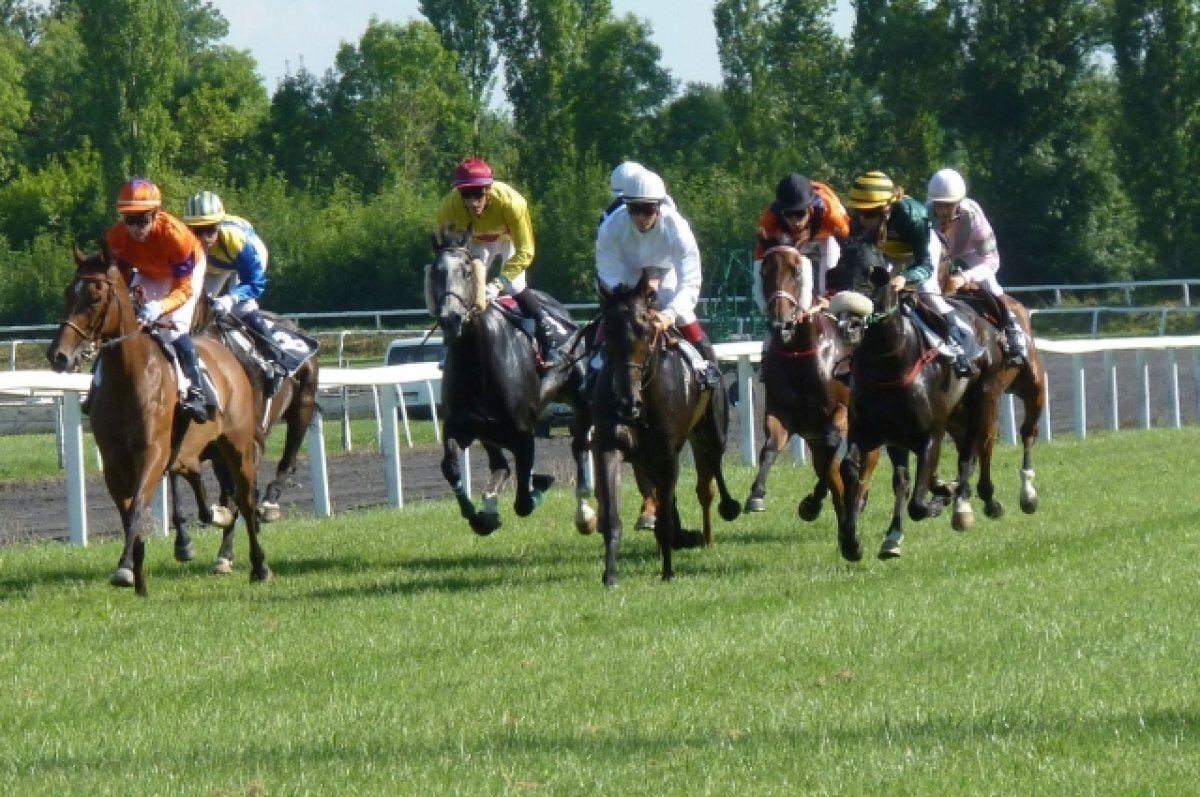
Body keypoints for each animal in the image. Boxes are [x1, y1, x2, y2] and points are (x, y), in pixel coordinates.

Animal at [46, 246, 270, 595]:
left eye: (95, 297)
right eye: (69, 293)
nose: (59, 355)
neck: (128, 378)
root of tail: (225, 352)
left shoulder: (151, 453)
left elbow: (137, 507)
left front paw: (125, 568)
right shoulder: (114, 463)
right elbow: (128, 512)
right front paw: (135, 574)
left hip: (237, 446)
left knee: (245, 500)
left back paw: (258, 565)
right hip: (193, 449)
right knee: (196, 476)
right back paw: (209, 521)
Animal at [427, 224, 595, 535]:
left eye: (467, 270)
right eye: (435, 271)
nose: (451, 319)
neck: (479, 362)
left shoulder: (523, 432)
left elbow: (524, 501)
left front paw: (540, 483)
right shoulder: (460, 426)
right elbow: (451, 467)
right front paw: (480, 515)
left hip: (580, 397)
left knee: (579, 445)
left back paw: (584, 513)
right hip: (488, 432)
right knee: (501, 464)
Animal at [590, 276, 739, 585]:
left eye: (645, 330)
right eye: (607, 330)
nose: (627, 402)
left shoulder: (668, 456)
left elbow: (668, 518)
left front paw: (668, 572)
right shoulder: (610, 446)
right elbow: (612, 516)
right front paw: (610, 575)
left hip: (710, 435)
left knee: (709, 483)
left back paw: (712, 533)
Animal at [739, 234, 883, 525]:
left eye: (797, 272)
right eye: (764, 272)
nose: (781, 325)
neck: (800, 356)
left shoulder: (841, 412)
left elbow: (832, 446)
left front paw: (814, 500)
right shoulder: (781, 411)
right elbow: (770, 447)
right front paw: (756, 494)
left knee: (865, 462)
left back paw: (857, 499)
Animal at [835, 242, 993, 559]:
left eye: (870, 276)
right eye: (838, 271)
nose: (848, 326)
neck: (889, 362)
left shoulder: (931, 435)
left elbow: (919, 505)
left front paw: (940, 500)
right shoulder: (868, 432)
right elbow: (851, 469)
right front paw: (851, 542)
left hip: (979, 402)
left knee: (967, 457)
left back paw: (959, 506)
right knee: (905, 480)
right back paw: (894, 537)